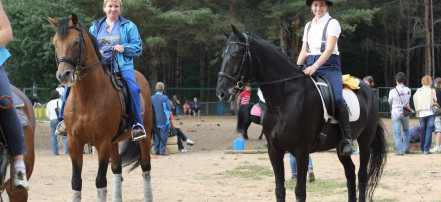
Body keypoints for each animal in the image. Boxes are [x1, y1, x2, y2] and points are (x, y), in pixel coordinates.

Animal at [47, 13, 154, 201]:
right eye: (55, 43)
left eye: (76, 41)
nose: (63, 74)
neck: (86, 97)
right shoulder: (74, 143)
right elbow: (76, 182)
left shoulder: (102, 143)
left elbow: (100, 182)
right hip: (114, 142)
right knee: (117, 168)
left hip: (144, 136)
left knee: (146, 167)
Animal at [216, 25, 384, 202]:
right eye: (223, 55)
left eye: (234, 55)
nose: (221, 92)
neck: (284, 99)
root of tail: (368, 89)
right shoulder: (274, 151)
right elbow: (279, 190)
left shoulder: (301, 151)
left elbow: (300, 191)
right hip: (340, 147)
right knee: (350, 172)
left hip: (365, 141)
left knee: (362, 175)